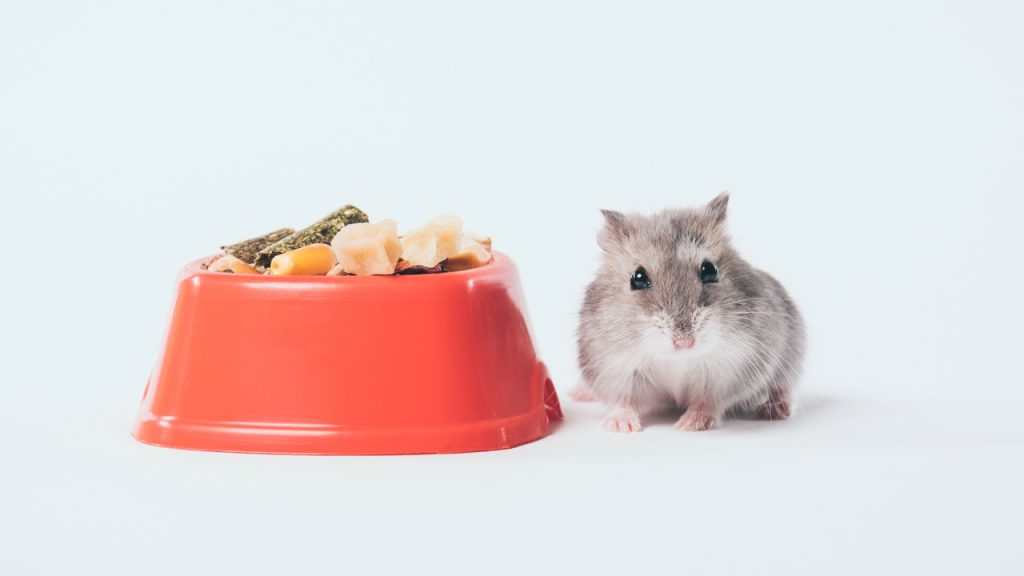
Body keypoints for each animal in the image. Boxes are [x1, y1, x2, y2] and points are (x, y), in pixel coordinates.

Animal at [575, 192, 805, 432]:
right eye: (637, 278)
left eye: (710, 270)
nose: (684, 342)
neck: (676, 359)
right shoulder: (614, 366)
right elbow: (622, 399)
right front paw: (622, 426)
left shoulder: (729, 368)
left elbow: (709, 399)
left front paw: (690, 424)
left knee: (783, 387)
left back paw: (776, 409)